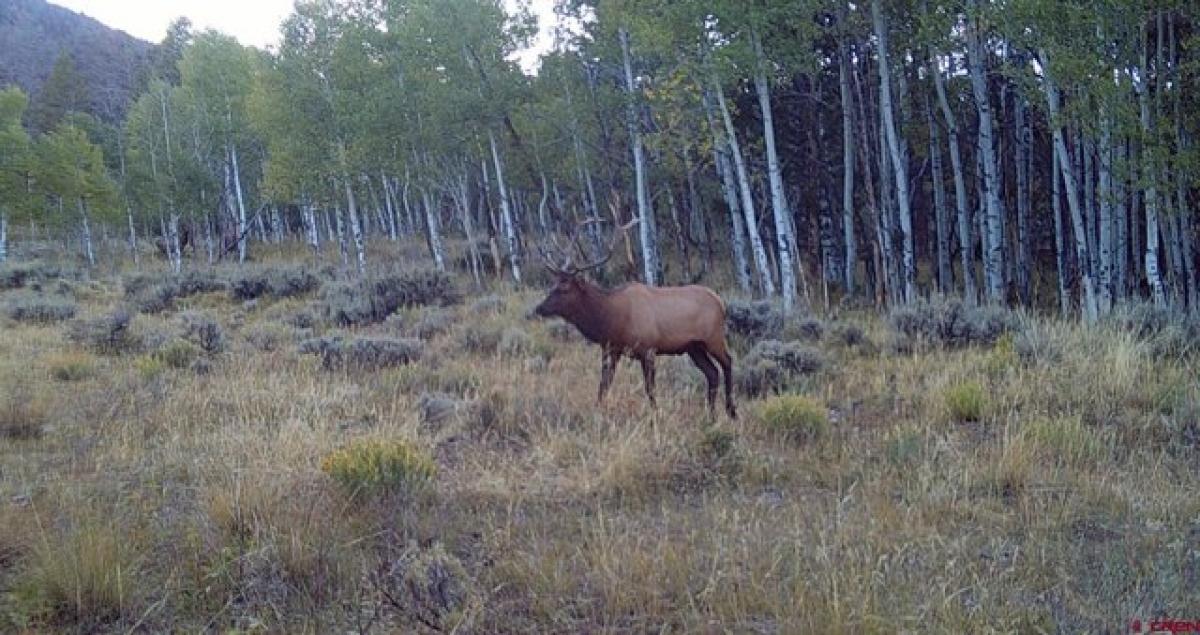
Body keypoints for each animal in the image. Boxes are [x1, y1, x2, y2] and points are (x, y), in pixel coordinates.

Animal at [537, 220, 739, 417]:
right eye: (553, 284)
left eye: (564, 288)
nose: (539, 308)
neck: (611, 321)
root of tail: (720, 302)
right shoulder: (611, 350)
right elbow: (604, 384)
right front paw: (597, 410)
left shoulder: (648, 350)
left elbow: (650, 388)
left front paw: (656, 414)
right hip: (694, 347)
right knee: (712, 373)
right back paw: (711, 414)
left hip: (714, 338)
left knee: (727, 362)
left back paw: (731, 411)